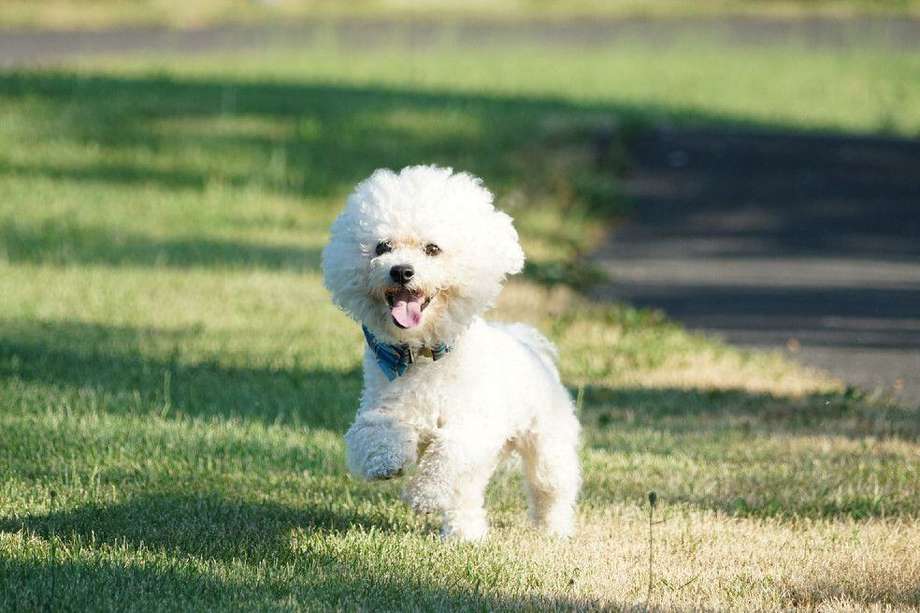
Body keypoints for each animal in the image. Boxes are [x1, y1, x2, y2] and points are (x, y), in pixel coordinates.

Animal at [324, 165, 584, 536]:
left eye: (432, 249)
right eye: (381, 247)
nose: (401, 270)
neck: (422, 356)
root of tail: (527, 343)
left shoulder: (473, 426)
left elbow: (447, 454)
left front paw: (425, 494)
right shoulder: (382, 406)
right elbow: (374, 432)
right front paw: (386, 461)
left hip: (547, 442)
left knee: (550, 487)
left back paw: (554, 529)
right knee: (468, 494)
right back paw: (465, 535)